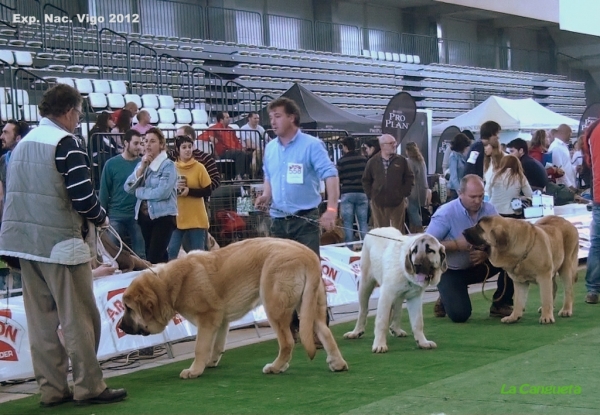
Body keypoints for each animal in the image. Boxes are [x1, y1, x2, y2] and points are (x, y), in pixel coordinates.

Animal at [118, 237, 350, 376]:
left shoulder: (207, 320)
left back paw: (276, 367)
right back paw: (337, 363)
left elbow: (200, 347)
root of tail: (307, 254)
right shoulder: (220, 322)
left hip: (274, 308)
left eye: (128, 308)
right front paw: (210, 362)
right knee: (324, 332)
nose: (120, 327)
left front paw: (194, 370)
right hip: (310, 307)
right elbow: (216, 345)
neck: (167, 285)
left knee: (287, 343)